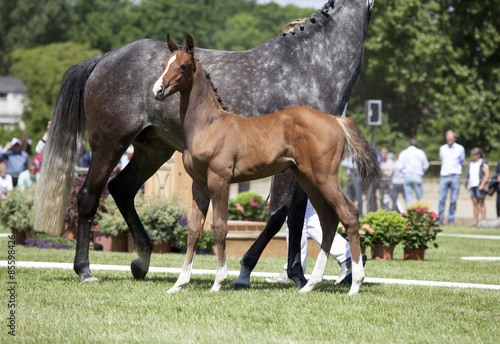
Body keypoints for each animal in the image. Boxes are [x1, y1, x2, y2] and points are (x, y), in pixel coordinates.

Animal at [152, 35, 378, 296]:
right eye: (163, 64)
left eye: (183, 66)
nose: (157, 90)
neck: (208, 125)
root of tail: (335, 119)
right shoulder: (198, 184)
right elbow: (194, 230)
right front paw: (179, 283)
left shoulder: (219, 180)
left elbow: (219, 227)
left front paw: (218, 282)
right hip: (307, 178)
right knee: (328, 219)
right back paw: (311, 284)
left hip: (324, 176)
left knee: (349, 213)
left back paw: (355, 284)